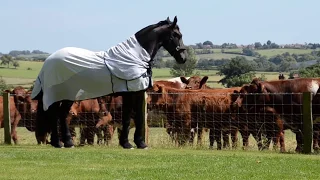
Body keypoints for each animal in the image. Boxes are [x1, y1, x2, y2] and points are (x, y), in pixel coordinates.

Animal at [32, 16, 188, 149]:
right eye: (176, 35)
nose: (183, 58)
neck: (134, 56)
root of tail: (49, 60)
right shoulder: (132, 93)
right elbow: (131, 117)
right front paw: (132, 144)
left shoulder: (133, 93)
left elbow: (133, 117)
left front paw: (134, 143)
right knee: (55, 115)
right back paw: (60, 143)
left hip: (68, 95)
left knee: (61, 115)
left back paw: (65, 143)